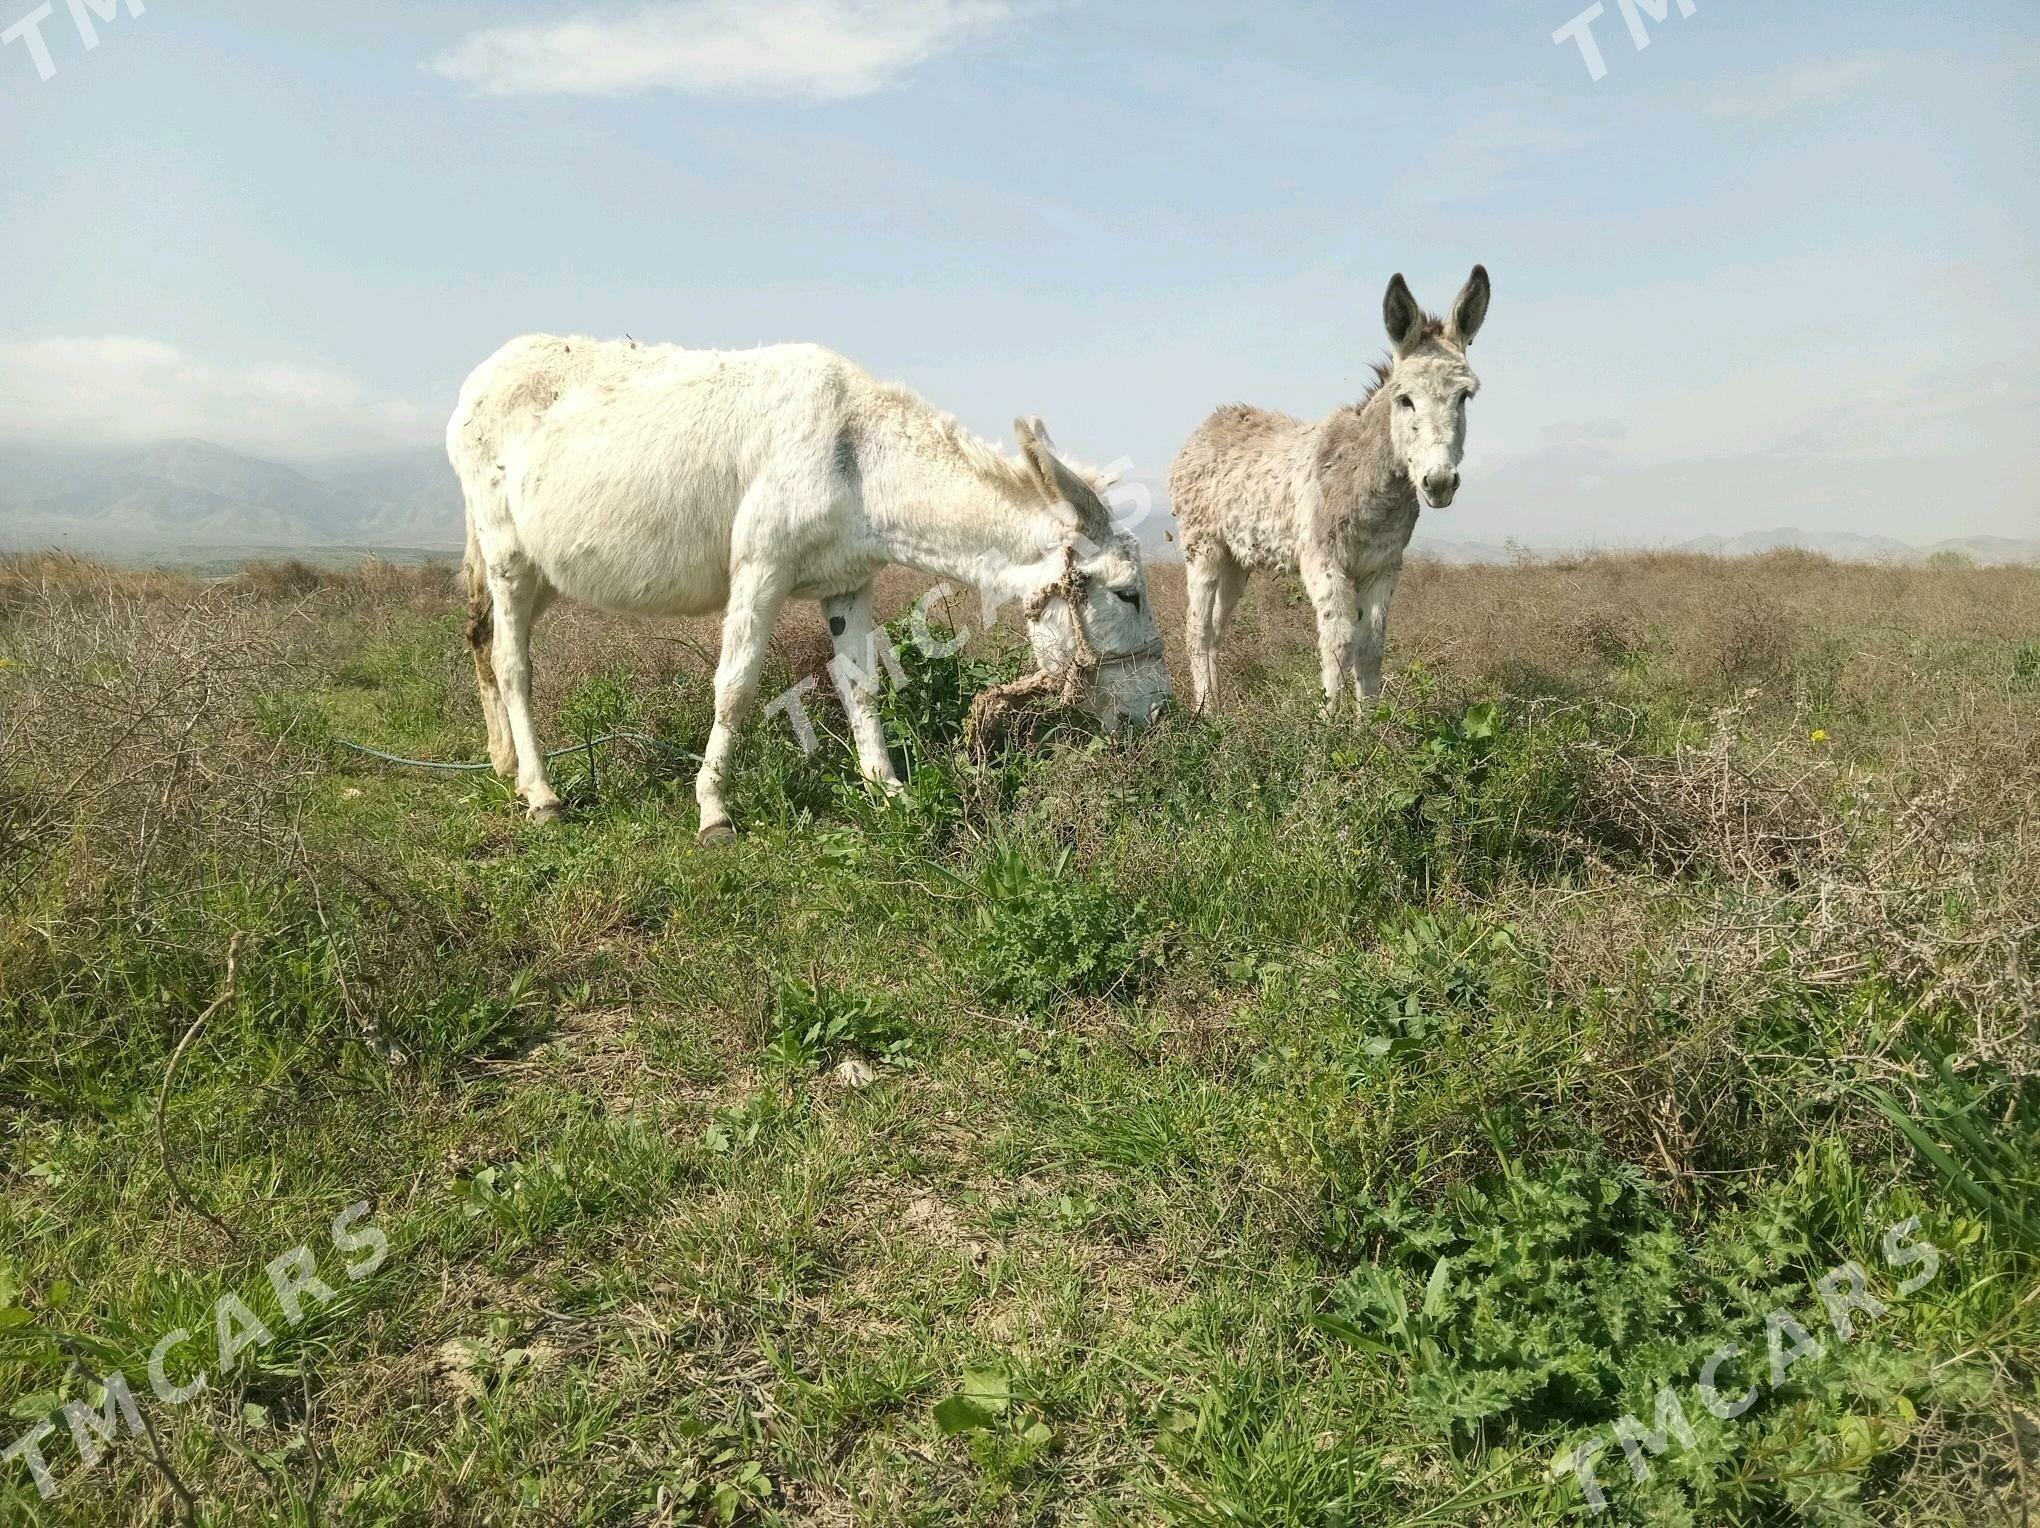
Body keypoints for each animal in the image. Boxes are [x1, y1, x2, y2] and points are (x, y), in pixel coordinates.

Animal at [1175, 267, 1493, 709]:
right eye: (1405, 399)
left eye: (1464, 397)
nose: (1440, 482)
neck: (1372, 489)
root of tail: (1210, 423)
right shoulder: (1322, 561)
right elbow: (1338, 641)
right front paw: (1329, 720)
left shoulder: (1383, 566)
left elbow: (1371, 646)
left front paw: (1371, 719)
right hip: (1202, 548)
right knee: (1197, 629)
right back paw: (1205, 710)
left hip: (1237, 560)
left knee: (1218, 628)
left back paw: (1220, 707)